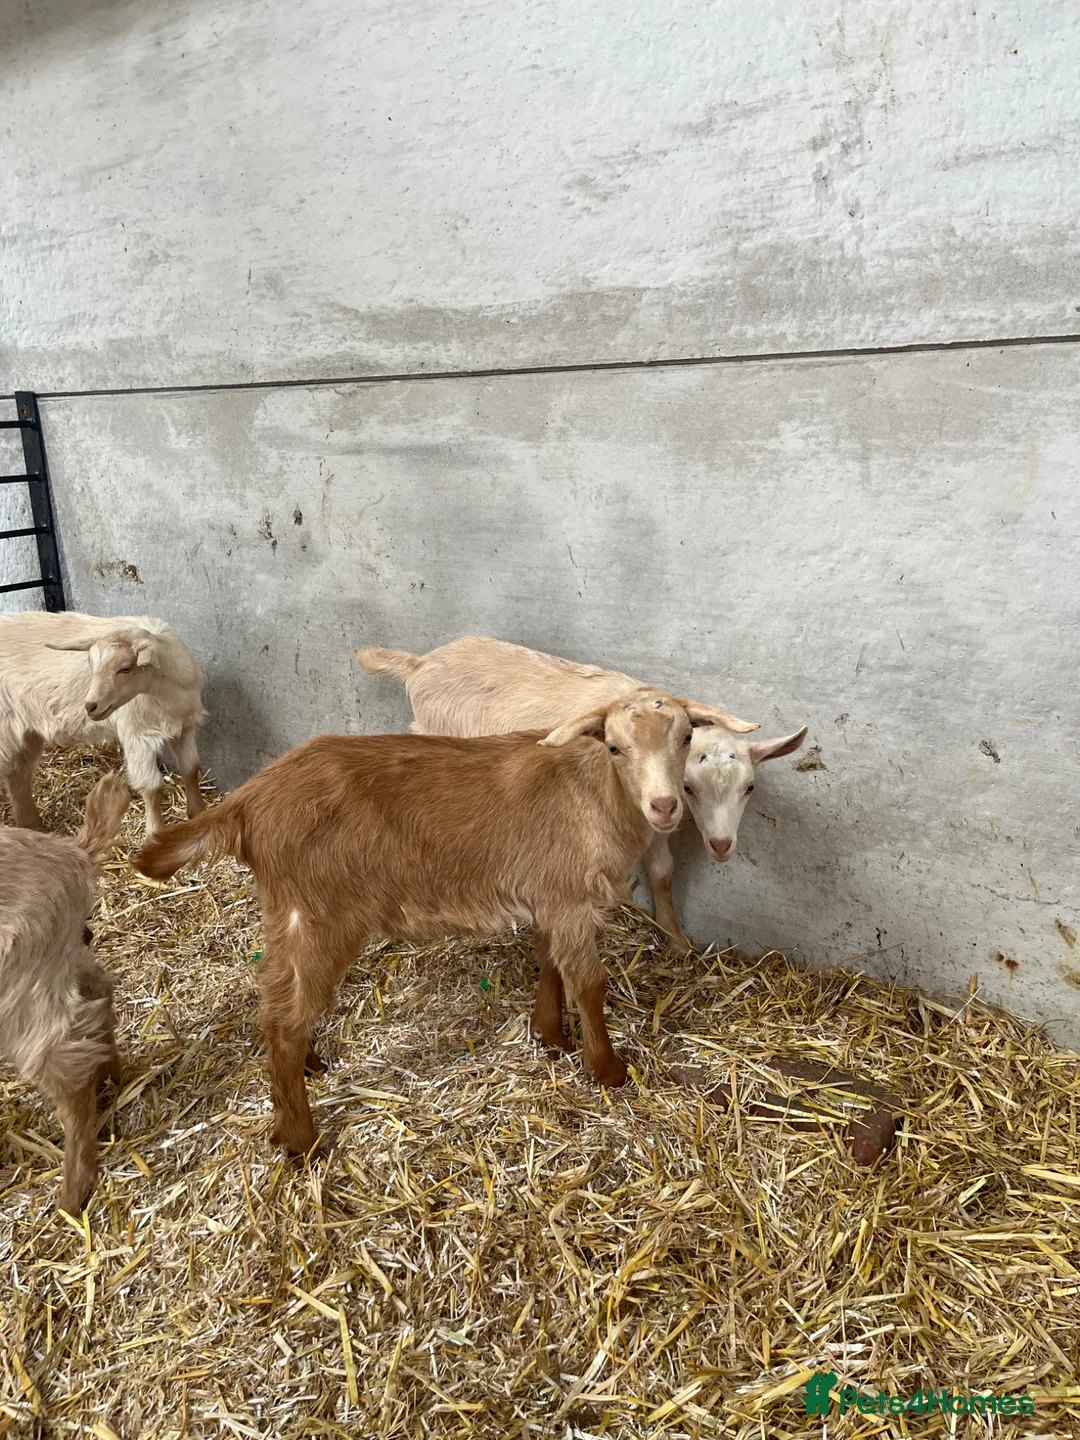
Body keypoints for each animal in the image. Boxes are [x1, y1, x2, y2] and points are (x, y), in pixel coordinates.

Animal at [0, 611, 207, 837]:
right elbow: (152, 786)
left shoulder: (183, 726)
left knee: (18, 772)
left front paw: (199, 813)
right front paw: (155, 833)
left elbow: (191, 768)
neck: (166, 693)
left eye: (125, 668)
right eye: (91, 666)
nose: (90, 706)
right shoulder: (137, 734)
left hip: (27, 732)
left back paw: (31, 824)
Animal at [0, 773, 130, 1212]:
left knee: (66, 1062)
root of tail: (74, 853)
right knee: (98, 996)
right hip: (62, 956)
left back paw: (73, 1195)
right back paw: (113, 1077)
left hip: (22, 988)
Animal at [135, 693, 694, 1154]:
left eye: (687, 738)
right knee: (287, 1017)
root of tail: (247, 802)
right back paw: (300, 1140)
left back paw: (308, 1069)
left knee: (275, 994)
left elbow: (550, 963)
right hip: (320, 914)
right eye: (615, 747)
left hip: (287, 910)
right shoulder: (570, 900)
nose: (666, 806)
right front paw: (608, 1071)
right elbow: (590, 983)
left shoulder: (549, 898)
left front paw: (550, 1037)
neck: (594, 795)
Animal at [355, 636, 805, 947]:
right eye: (690, 787)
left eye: (749, 787)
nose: (721, 845)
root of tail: (420, 663)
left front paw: (676, 942)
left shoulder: (655, 820)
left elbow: (662, 872)